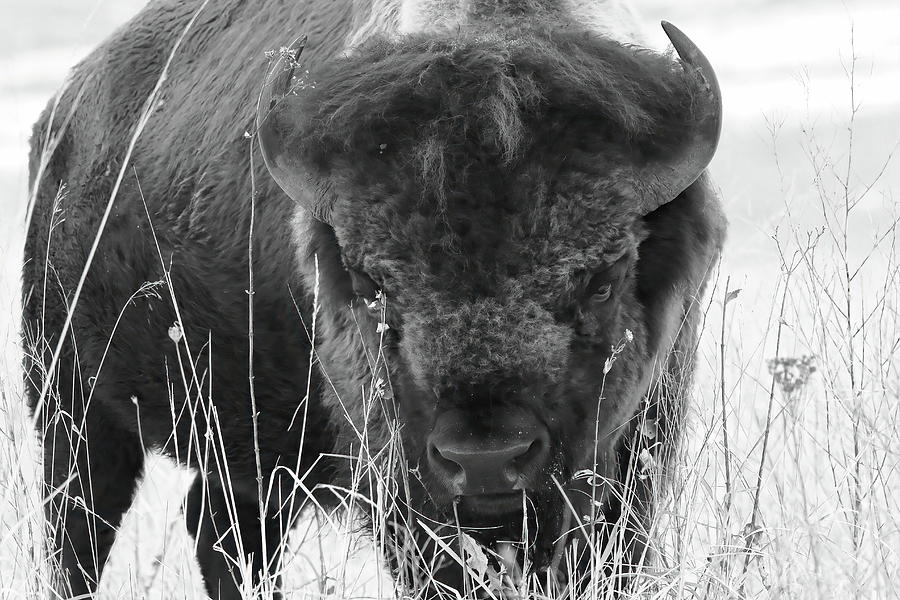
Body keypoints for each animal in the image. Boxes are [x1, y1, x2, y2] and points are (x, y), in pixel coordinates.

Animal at [22, 1, 724, 600]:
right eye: (370, 287)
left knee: (221, 533)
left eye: (603, 278)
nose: (486, 461)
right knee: (80, 533)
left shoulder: (635, 465)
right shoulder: (403, 491)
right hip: (70, 408)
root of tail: (63, 118)